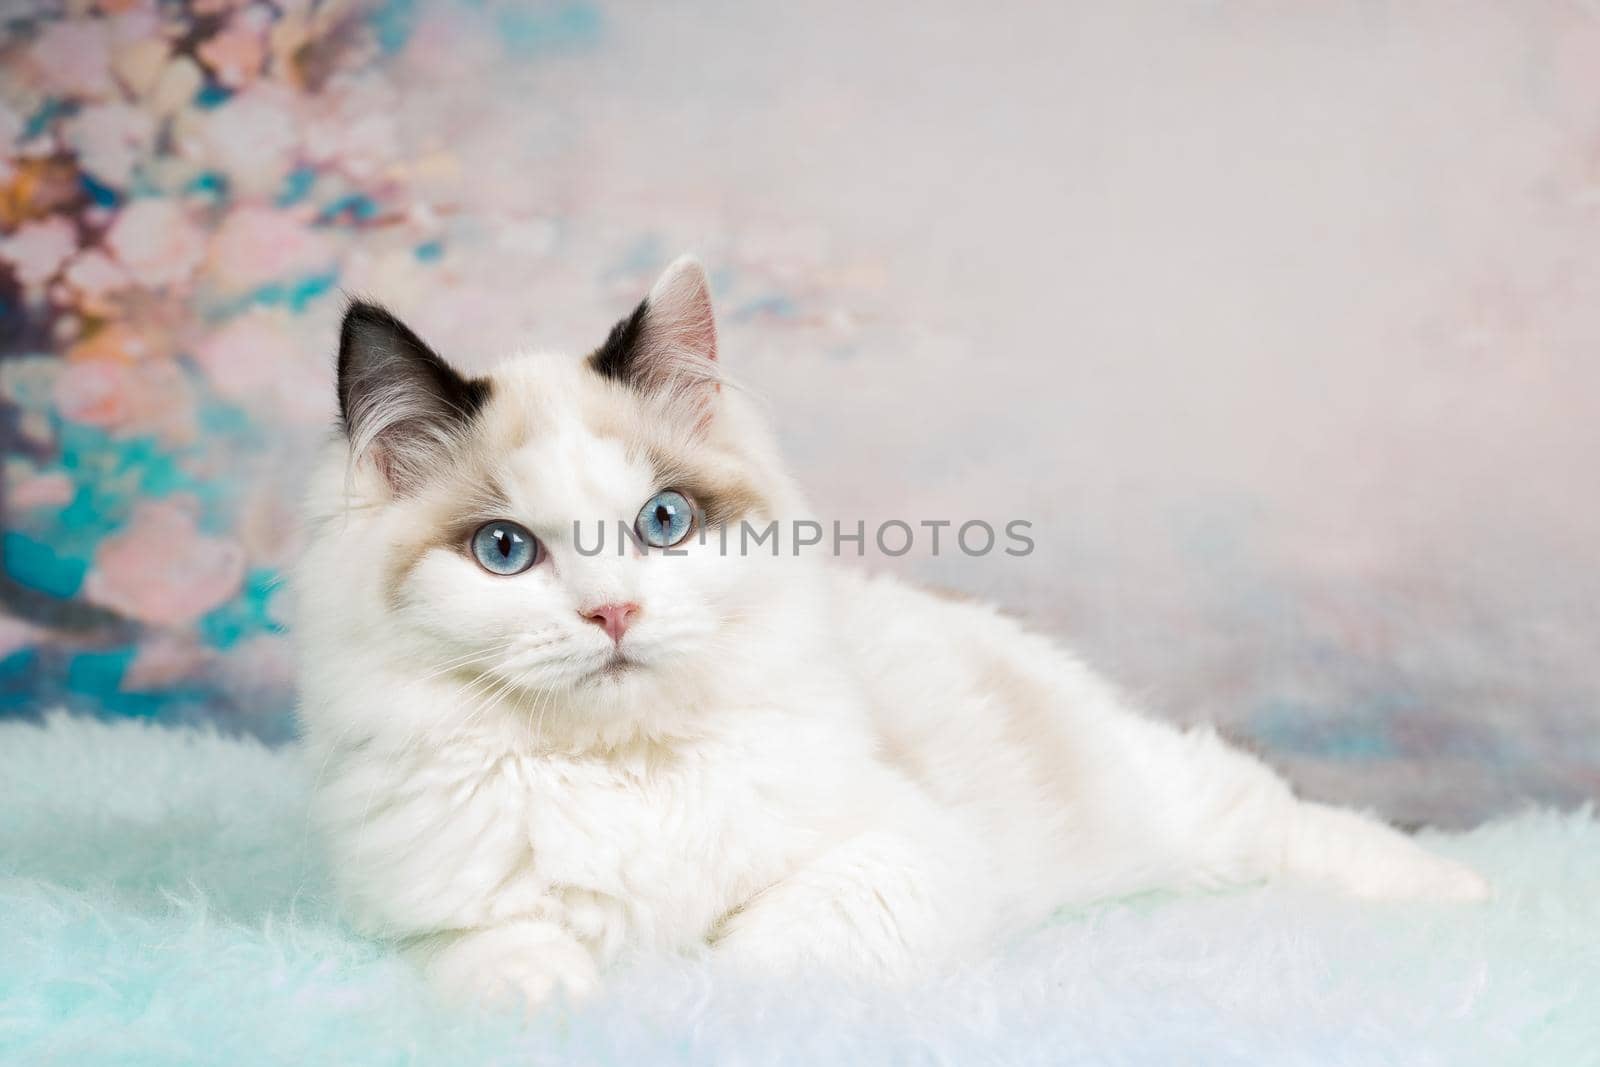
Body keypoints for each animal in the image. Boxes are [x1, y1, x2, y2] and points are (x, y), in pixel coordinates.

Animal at [291, 255, 1484, 1011]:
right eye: (504, 551)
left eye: (663, 523)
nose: (615, 611)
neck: (623, 771)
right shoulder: (424, 913)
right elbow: (503, 955)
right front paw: (558, 995)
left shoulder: (900, 858)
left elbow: (761, 953)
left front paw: (690, 989)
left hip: (1158, 810)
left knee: (1278, 816)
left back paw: (1461, 891)